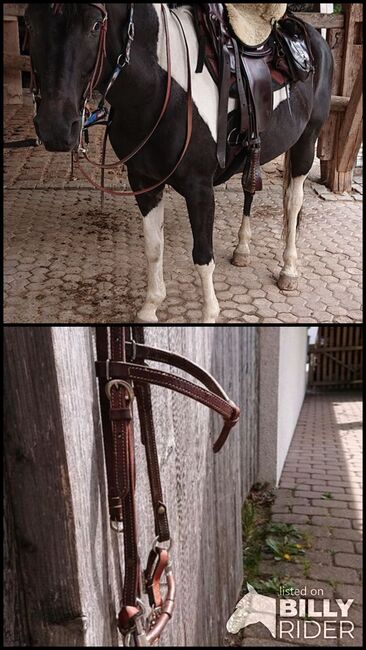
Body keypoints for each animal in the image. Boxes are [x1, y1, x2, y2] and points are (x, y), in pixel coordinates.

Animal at [26, 2, 334, 322]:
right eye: (30, 24)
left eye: (95, 25)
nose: (55, 128)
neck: (160, 91)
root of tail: (311, 33)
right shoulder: (144, 182)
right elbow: (153, 247)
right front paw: (150, 307)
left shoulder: (199, 189)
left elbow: (202, 256)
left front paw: (209, 314)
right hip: (256, 153)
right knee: (250, 190)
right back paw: (243, 250)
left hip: (306, 141)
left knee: (293, 203)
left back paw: (289, 270)